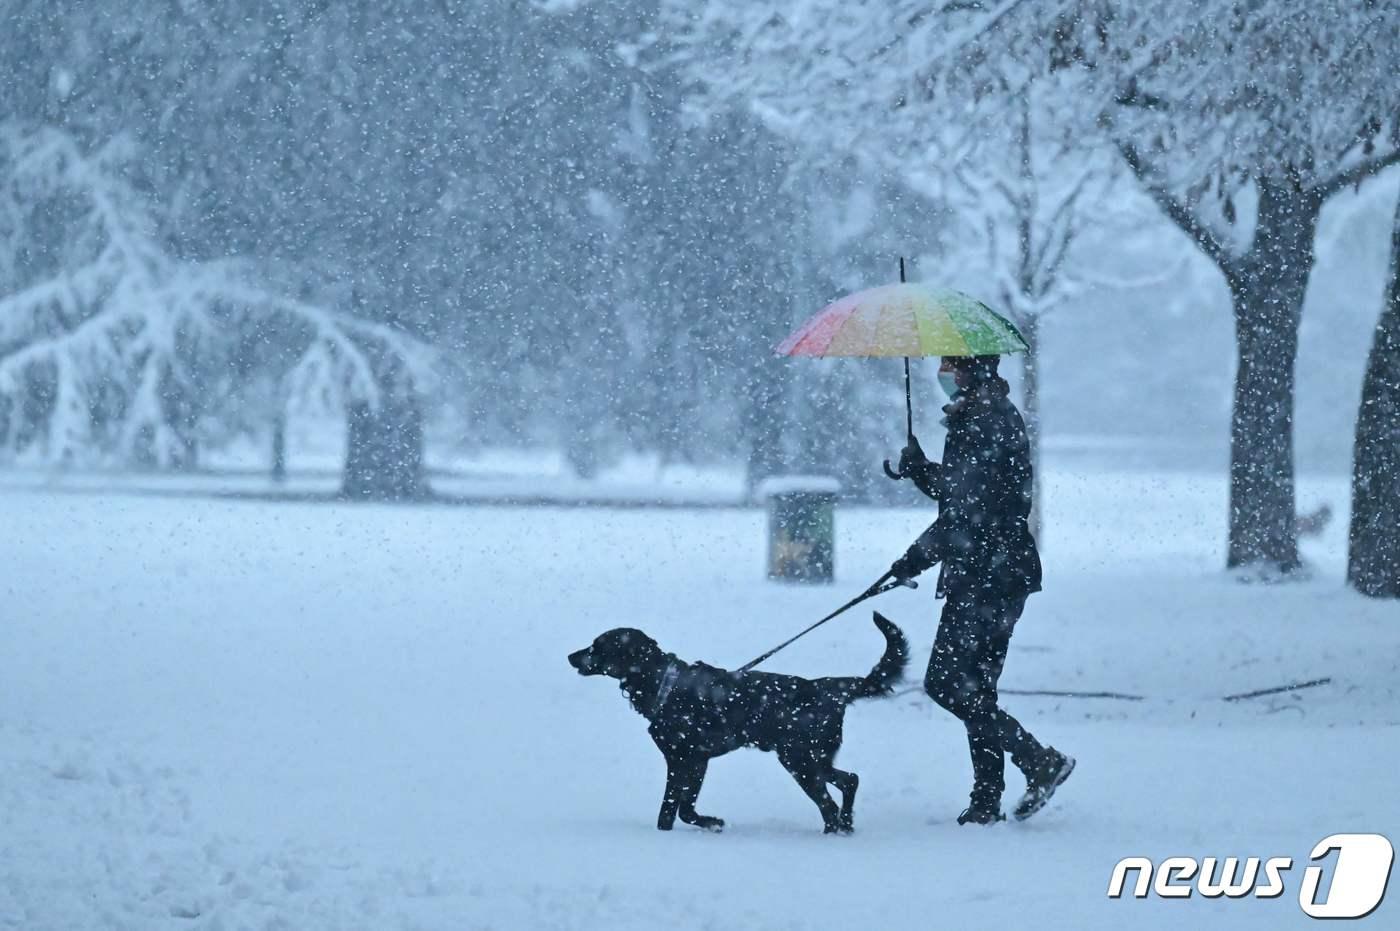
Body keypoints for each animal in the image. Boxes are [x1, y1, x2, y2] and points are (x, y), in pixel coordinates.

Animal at [568, 613, 907, 828]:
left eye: (597, 645)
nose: (571, 656)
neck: (662, 682)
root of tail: (827, 687)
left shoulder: (684, 759)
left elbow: (674, 809)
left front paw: (706, 824)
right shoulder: (696, 761)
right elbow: (680, 809)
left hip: (799, 760)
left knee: (829, 805)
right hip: (813, 758)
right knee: (850, 780)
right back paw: (846, 826)